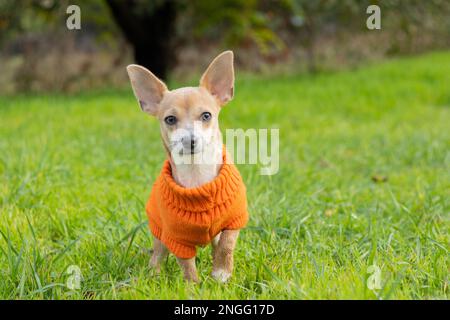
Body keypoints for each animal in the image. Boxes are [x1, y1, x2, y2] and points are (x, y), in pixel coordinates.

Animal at [126, 50, 250, 282]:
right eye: (170, 119)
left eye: (206, 115)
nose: (189, 140)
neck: (197, 173)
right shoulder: (177, 238)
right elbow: (186, 264)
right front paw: (193, 285)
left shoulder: (234, 220)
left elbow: (226, 244)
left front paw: (221, 273)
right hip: (160, 236)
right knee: (158, 255)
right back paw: (153, 276)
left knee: (216, 244)